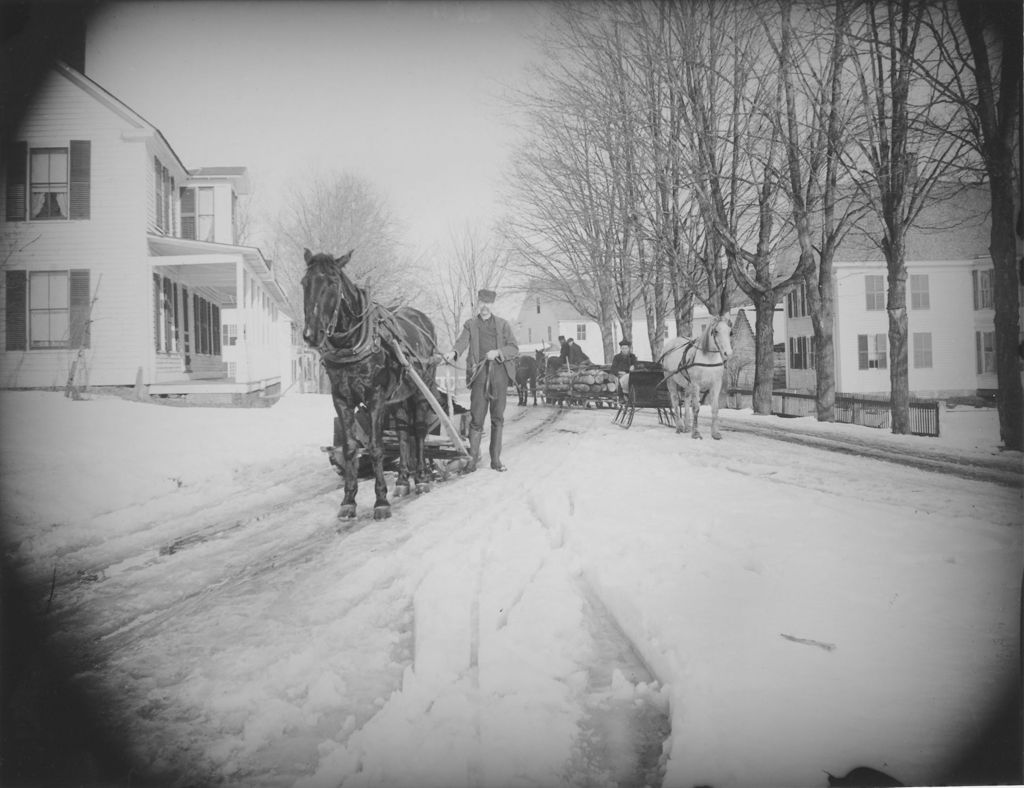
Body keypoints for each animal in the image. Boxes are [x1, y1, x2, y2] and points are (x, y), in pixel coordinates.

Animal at [299, 245, 438, 515]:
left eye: (332, 283)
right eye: (304, 283)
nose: (311, 335)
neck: (351, 344)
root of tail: (423, 320)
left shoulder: (375, 396)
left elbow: (375, 447)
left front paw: (381, 501)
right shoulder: (341, 399)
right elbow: (350, 448)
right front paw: (348, 500)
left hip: (421, 388)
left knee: (419, 430)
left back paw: (422, 478)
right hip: (399, 397)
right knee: (403, 432)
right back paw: (404, 480)